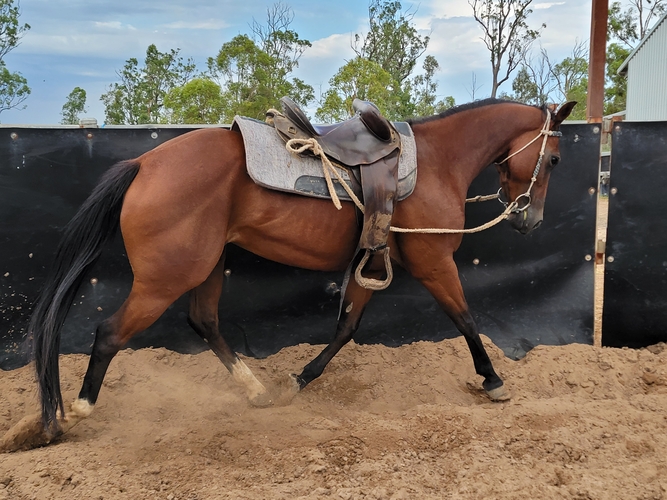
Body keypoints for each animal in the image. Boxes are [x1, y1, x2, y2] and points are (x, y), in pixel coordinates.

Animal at [0, 98, 575, 451]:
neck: (435, 162)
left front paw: (298, 381)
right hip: (166, 278)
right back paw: (67, 416)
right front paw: (494, 380)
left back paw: (257, 392)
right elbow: (466, 319)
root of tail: (144, 164)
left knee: (204, 321)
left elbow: (345, 329)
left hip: (207, 265)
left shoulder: (370, 263)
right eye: (554, 158)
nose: (530, 220)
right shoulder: (435, 263)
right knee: (109, 333)